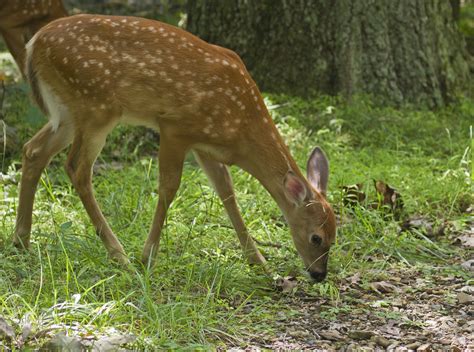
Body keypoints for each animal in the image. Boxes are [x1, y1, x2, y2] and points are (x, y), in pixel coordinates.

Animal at [12, 14, 336, 280]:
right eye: (316, 238)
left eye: (335, 236)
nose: (319, 274)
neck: (241, 128)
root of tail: (33, 44)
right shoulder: (175, 128)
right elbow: (169, 188)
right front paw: (147, 257)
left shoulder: (206, 146)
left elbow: (227, 192)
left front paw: (260, 263)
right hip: (96, 107)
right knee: (77, 168)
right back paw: (120, 255)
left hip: (67, 113)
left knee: (33, 150)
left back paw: (21, 240)